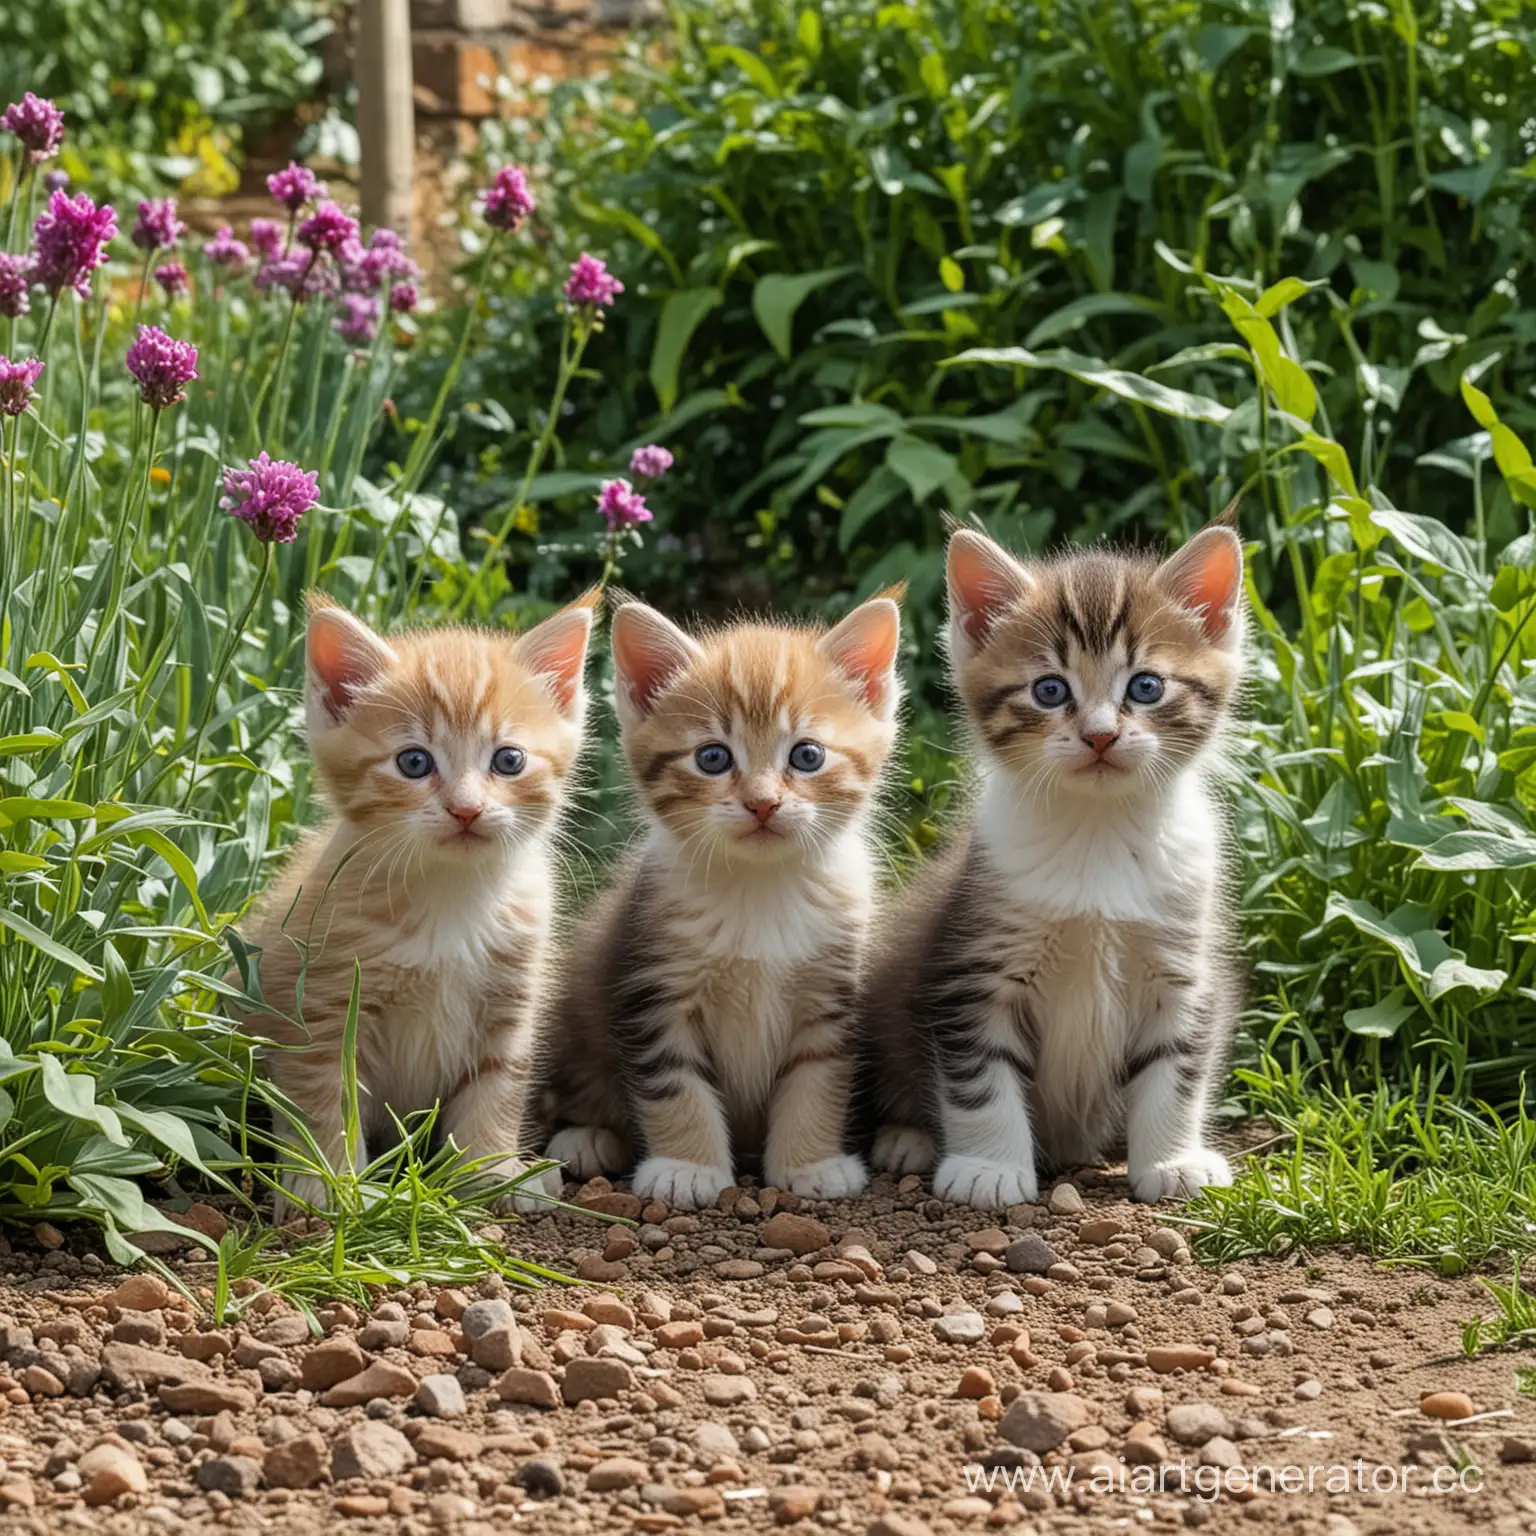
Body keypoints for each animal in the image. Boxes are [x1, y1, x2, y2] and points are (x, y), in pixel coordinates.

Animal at [244, 592, 592, 1216]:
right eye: (414, 763)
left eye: (508, 761)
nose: (466, 809)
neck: (451, 897)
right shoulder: (321, 1003)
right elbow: (324, 1096)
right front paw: (329, 1185)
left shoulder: (510, 1001)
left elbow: (497, 1088)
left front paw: (492, 1172)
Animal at [537, 592, 897, 1204]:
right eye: (712, 758)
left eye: (807, 755)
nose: (762, 803)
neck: (761, 888)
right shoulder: (654, 988)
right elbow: (675, 1084)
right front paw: (687, 1167)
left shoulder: (832, 997)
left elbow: (818, 1079)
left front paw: (811, 1162)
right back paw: (587, 1137)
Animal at [866, 528, 1247, 1210]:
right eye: (1050, 690)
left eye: (1146, 687)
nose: (1099, 735)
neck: (1098, 835)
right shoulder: (973, 968)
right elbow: (979, 1078)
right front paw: (988, 1168)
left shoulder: (1184, 967)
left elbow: (1178, 1068)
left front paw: (1173, 1160)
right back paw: (907, 1137)